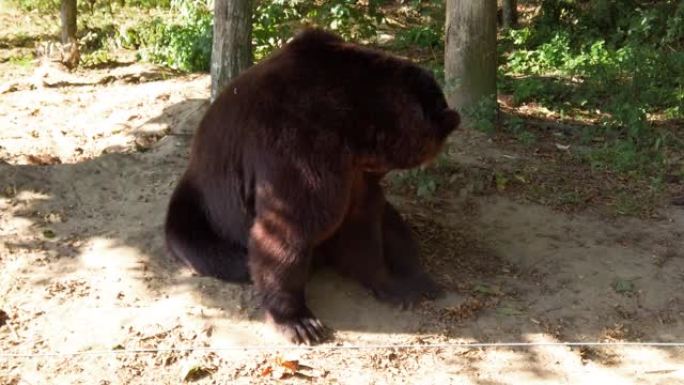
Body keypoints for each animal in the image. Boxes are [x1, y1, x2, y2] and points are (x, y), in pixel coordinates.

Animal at [164, 28, 460, 344]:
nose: (451, 111)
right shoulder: (298, 147)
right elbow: (291, 229)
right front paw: (299, 322)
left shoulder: (355, 172)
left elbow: (365, 222)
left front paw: (392, 285)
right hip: (202, 213)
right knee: (217, 254)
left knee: (394, 224)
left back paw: (423, 280)